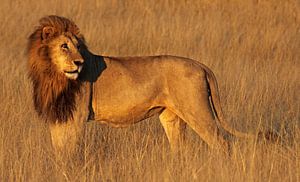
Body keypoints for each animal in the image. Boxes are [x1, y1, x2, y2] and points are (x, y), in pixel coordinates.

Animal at [28, 16, 274, 155]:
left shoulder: (76, 117)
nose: (79, 62)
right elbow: (58, 150)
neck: (51, 75)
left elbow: (69, 152)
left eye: (78, 47)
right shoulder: (57, 116)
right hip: (171, 117)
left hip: (197, 110)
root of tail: (201, 64)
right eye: (64, 46)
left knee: (221, 144)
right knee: (180, 150)